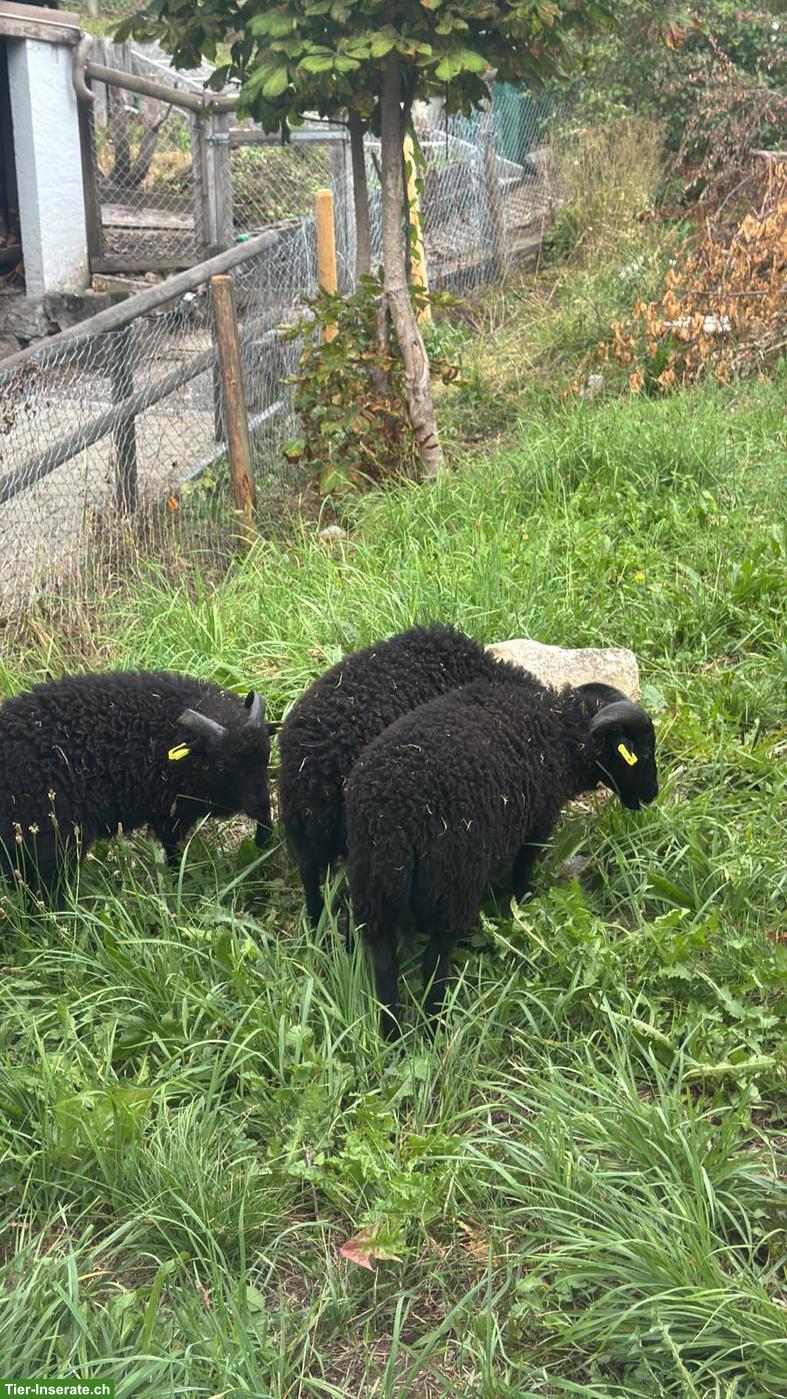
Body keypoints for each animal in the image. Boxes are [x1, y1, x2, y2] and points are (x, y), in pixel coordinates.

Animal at [0, 669, 272, 896]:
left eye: (267, 755)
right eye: (222, 765)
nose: (262, 808)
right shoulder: (171, 812)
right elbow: (175, 853)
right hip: (49, 839)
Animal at [345, 679, 658, 1038]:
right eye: (643, 752)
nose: (652, 794)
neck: (560, 727)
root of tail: (393, 826)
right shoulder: (538, 819)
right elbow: (523, 866)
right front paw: (526, 902)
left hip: (371, 890)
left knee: (384, 966)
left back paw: (392, 1035)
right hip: (452, 883)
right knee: (434, 963)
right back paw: (434, 1027)